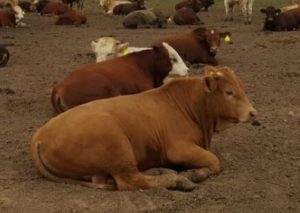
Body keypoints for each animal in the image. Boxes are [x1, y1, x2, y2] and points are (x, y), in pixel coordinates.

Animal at [31, 65, 258, 191]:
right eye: (229, 92)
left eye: (243, 89)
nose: (253, 113)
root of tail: (39, 136)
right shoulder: (179, 149)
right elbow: (214, 161)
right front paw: (193, 174)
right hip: (117, 144)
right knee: (132, 181)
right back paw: (175, 179)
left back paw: (160, 170)